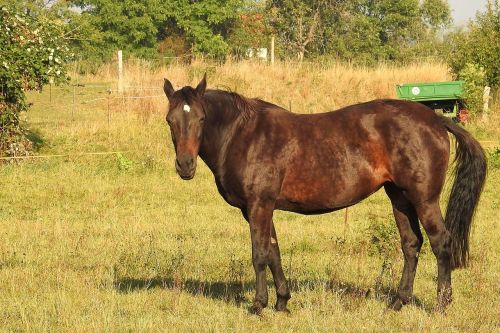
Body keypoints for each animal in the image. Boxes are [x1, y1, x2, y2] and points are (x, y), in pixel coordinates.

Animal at [162, 74, 486, 314]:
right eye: (170, 120)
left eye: (202, 119)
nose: (185, 165)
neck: (244, 135)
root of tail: (435, 119)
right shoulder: (263, 208)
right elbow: (274, 252)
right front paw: (282, 302)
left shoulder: (258, 206)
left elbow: (259, 254)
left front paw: (258, 304)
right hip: (400, 198)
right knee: (411, 244)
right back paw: (397, 302)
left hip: (424, 199)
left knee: (440, 243)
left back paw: (441, 305)